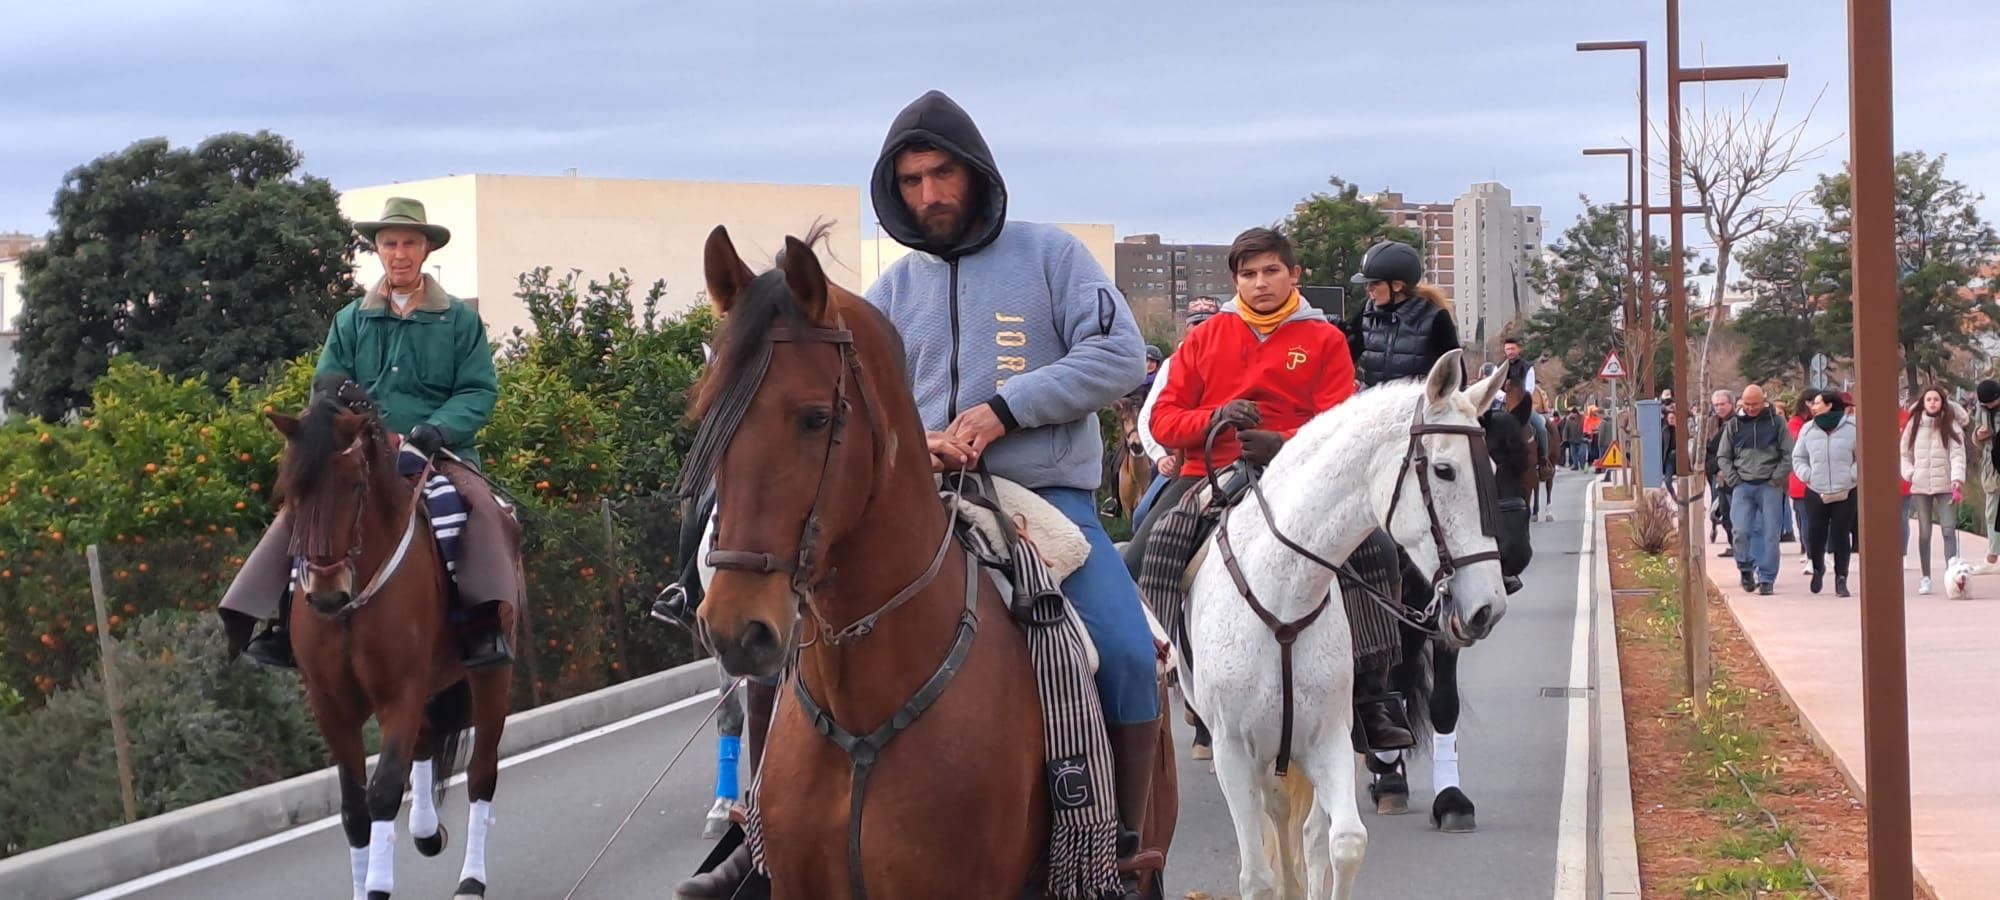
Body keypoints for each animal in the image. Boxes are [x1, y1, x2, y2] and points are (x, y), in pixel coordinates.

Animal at [270, 378, 520, 900]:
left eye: (355, 485)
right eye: (291, 489)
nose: (326, 592)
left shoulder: (399, 691)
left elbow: (382, 791)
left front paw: (377, 886)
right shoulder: (331, 705)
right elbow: (353, 808)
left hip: (491, 678)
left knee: (481, 773)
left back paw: (470, 879)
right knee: (424, 743)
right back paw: (425, 830)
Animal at [1176, 352, 1504, 900]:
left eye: (1493, 470)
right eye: (1444, 470)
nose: (1488, 608)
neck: (1282, 597)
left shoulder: (1329, 739)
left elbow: (1344, 843)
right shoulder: (1233, 753)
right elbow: (1258, 876)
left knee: (1308, 831)